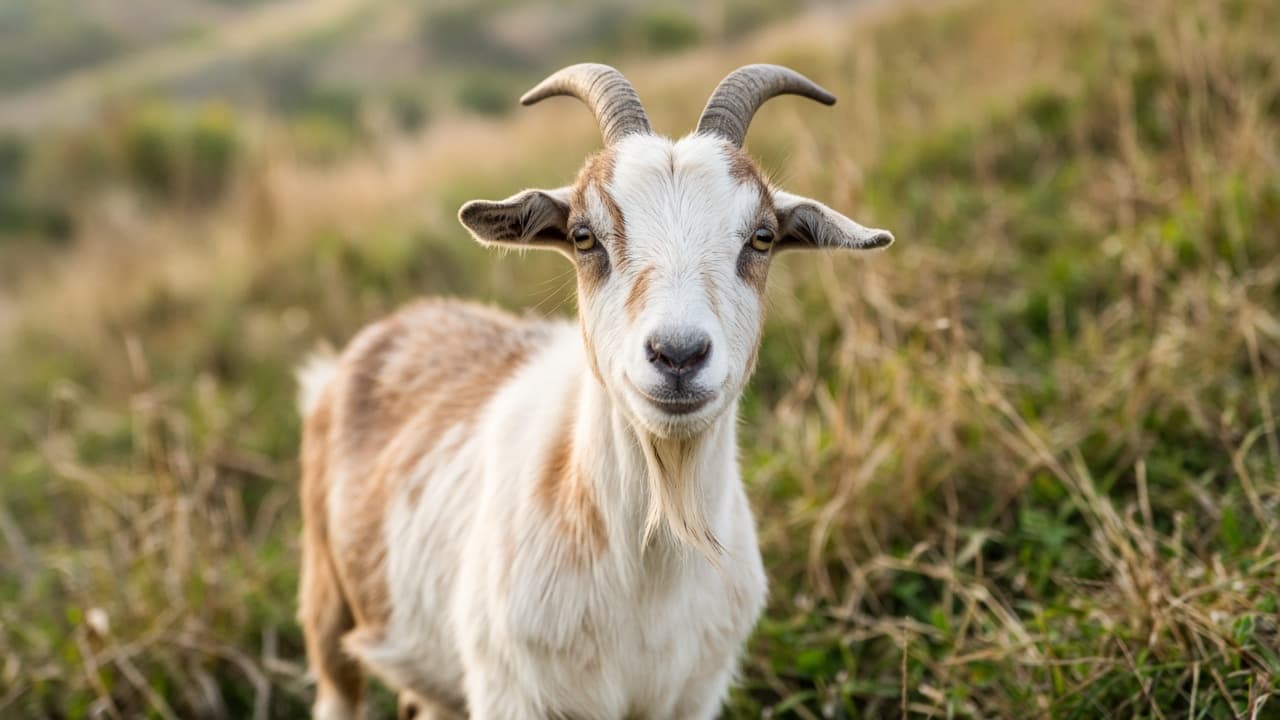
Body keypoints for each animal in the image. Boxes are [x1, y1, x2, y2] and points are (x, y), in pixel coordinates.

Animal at [297, 63, 893, 720]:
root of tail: (382, 334)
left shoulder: (693, 695)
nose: (678, 355)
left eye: (761, 237)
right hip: (327, 610)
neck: (650, 572)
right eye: (585, 237)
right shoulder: (513, 694)